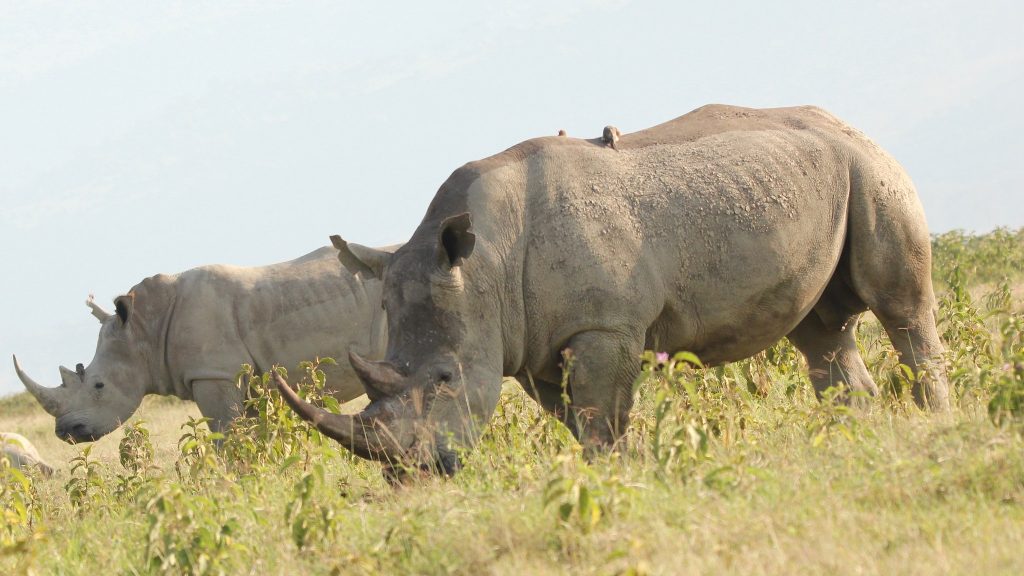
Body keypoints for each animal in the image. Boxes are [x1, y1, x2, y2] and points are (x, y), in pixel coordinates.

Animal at [14, 245, 397, 443]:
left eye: (98, 385)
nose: (66, 432)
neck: (144, 331)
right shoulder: (244, 379)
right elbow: (254, 434)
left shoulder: (213, 372)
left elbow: (225, 436)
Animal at [276, 104, 951, 474]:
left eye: (444, 379)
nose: (410, 476)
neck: (485, 266)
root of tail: (844, 123)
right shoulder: (533, 342)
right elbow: (578, 420)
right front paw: (620, 474)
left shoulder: (605, 324)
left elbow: (602, 416)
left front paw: (620, 479)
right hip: (814, 180)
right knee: (820, 332)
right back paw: (858, 442)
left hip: (869, 167)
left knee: (901, 307)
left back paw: (941, 428)